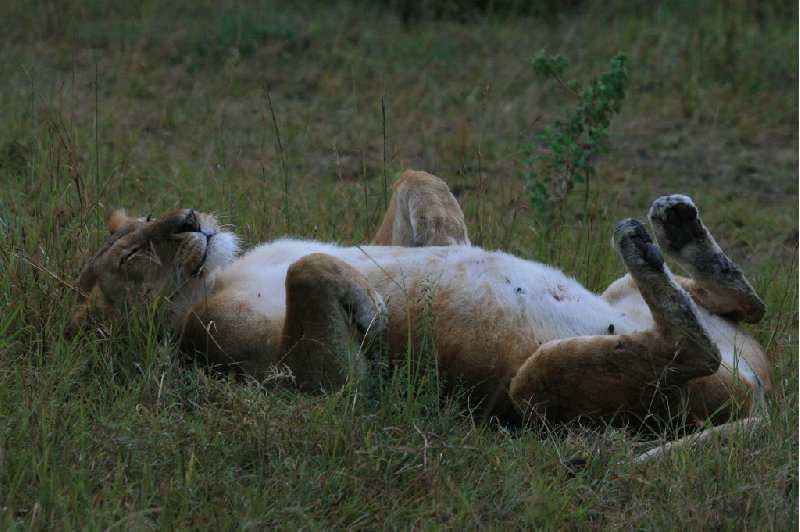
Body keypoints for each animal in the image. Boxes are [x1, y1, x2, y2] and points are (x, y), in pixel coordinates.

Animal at [73, 172, 768, 430]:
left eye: (146, 221)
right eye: (130, 259)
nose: (191, 221)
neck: (221, 275)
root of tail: (758, 395)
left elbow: (416, 184)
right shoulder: (305, 378)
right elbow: (309, 272)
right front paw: (370, 306)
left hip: (636, 302)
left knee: (747, 306)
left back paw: (675, 226)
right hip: (533, 389)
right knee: (692, 351)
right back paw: (644, 244)